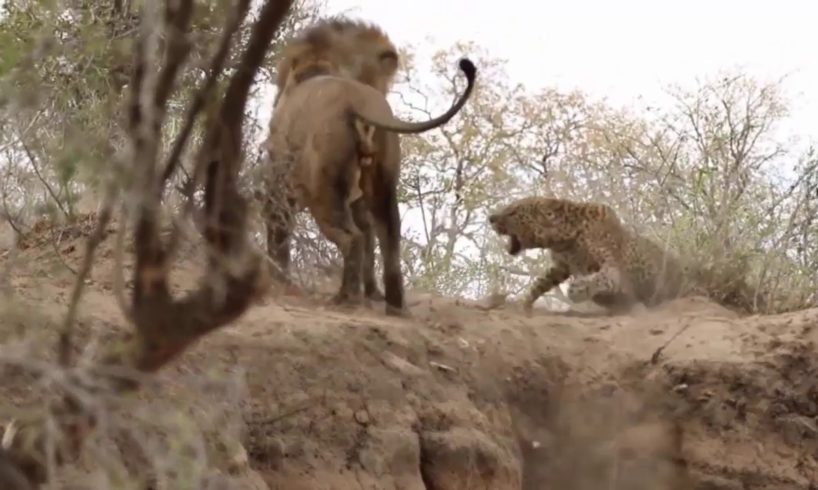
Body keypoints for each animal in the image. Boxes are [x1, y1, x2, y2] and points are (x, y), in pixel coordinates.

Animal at [262, 17, 478, 316]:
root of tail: (356, 103)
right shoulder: (357, 199)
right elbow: (370, 243)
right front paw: (373, 294)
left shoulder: (279, 184)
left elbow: (277, 231)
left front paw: (278, 281)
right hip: (382, 187)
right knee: (389, 243)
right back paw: (395, 308)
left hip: (323, 191)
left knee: (352, 238)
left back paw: (346, 299)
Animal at [488, 195, 684, 314]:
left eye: (512, 212)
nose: (490, 218)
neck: (563, 240)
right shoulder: (560, 266)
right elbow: (540, 282)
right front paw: (524, 302)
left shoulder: (611, 265)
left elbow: (603, 278)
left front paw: (579, 289)